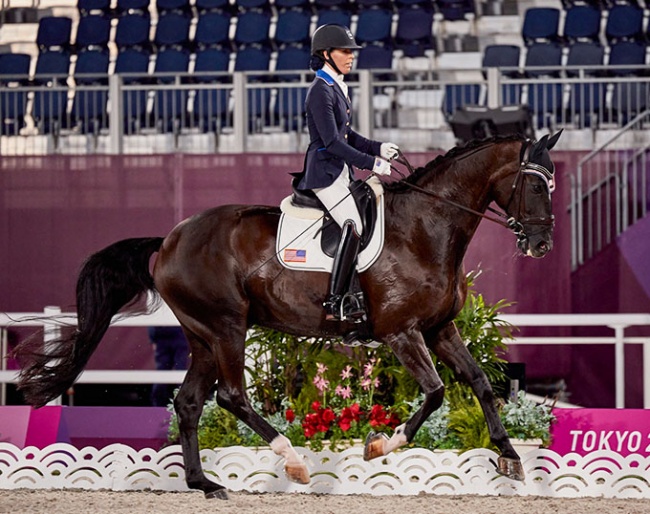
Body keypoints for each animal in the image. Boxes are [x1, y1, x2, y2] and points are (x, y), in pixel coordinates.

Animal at [15, 130, 560, 498]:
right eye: (536, 187)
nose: (541, 245)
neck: (425, 228)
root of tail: (170, 237)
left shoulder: (439, 328)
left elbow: (480, 383)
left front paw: (510, 455)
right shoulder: (401, 333)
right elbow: (436, 392)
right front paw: (379, 447)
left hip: (202, 336)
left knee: (190, 402)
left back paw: (204, 483)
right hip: (227, 328)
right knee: (232, 396)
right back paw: (293, 462)